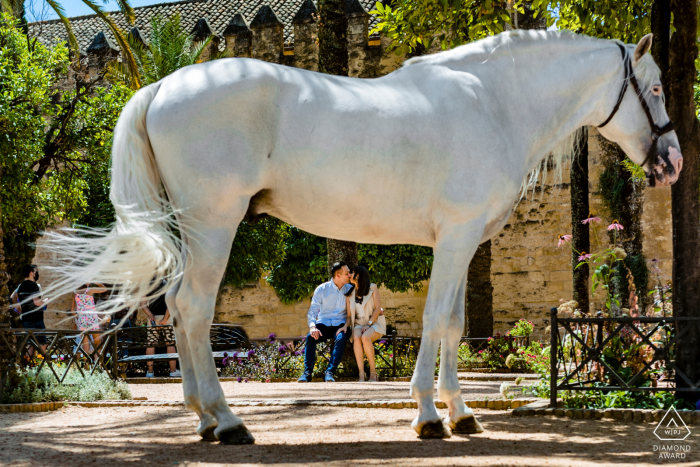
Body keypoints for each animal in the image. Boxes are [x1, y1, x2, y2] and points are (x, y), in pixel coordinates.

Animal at [43, 29, 680, 442]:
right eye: (652, 89)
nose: (672, 161)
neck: (494, 103)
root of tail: (161, 87)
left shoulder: (462, 242)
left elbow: (452, 322)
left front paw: (459, 412)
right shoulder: (456, 237)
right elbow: (439, 321)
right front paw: (430, 416)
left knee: (177, 309)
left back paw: (203, 418)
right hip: (213, 224)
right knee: (195, 309)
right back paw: (226, 422)